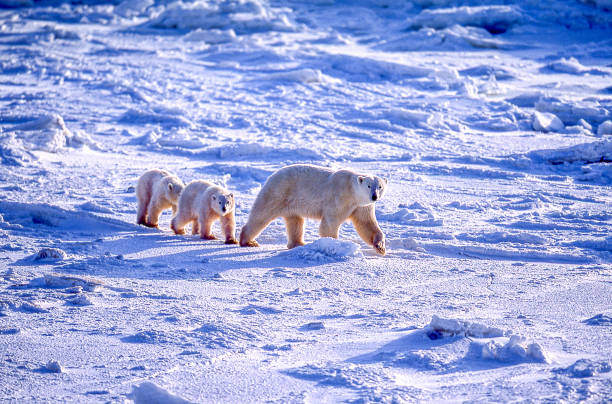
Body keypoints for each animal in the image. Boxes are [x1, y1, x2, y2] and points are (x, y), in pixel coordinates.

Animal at [239, 163, 388, 252]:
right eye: (369, 186)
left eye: (380, 186)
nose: (374, 196)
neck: (351, 190)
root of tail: (271, 176)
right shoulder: (339, 197)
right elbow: (330, 223)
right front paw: (334, 244)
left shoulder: (362, 206)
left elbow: (366, 224)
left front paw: (380, 246)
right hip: (278, 192)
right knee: (261, 215)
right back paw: (248, 241)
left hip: (291, 204)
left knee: (295, 222)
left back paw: (298, 244)